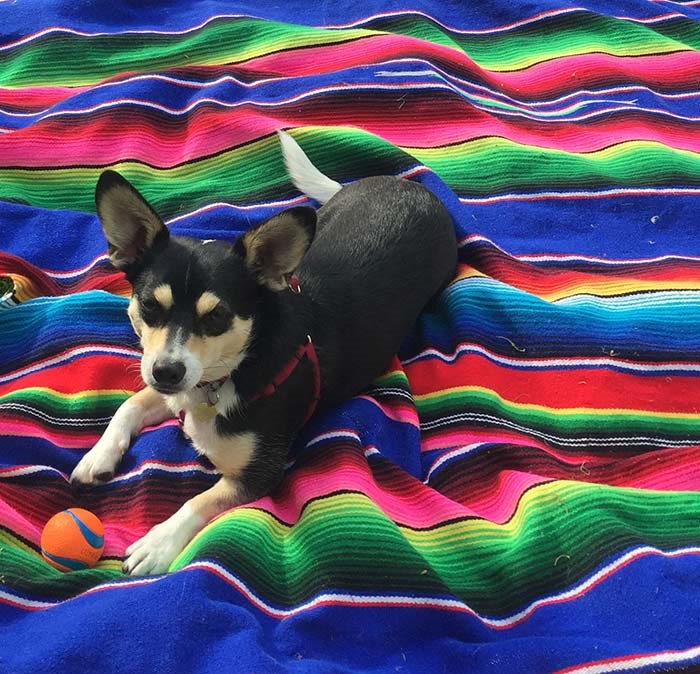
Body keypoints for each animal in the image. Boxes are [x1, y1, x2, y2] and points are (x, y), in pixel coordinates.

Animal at [68, 130, 456, 572]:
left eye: (217, 316)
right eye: (149, 305)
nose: (167, 371)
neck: (226, 374)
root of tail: (408, 185)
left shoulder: (258, 474)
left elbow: (199, 500)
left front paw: (157, 543)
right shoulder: (172, 388)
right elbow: (128, 405)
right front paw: (98, 456)